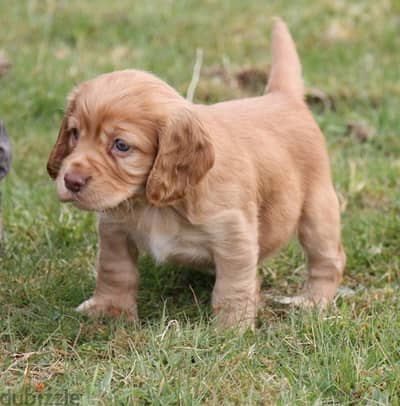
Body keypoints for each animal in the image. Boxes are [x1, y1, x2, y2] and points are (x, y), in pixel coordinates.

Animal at [48, 19, 346, 330]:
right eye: (74, 133)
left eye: (121, 145)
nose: (71, 180)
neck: (153, 204)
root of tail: (282, 97)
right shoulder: (115, 230)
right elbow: (114, 270)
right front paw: (109, 310)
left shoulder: (234, 238)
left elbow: (232, 288)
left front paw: (230, 329)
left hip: (318, 211)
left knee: (328, 259)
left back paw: (313, 301)